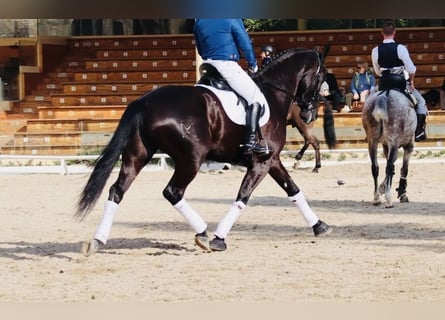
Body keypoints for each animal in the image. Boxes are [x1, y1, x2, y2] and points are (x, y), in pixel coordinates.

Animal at [76, 47, 332, 255]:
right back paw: (203, 233)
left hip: (138, 155)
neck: (273, 94)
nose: (309, 114)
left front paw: (319, 225)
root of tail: (145, 102)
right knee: (173, 192)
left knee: (117, 191)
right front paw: (219, 239)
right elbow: (243, 197)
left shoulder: (273, 160)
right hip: (191, 159)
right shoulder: (262, 163)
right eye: (321, 77)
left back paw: (98, 240)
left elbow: (293, 190)